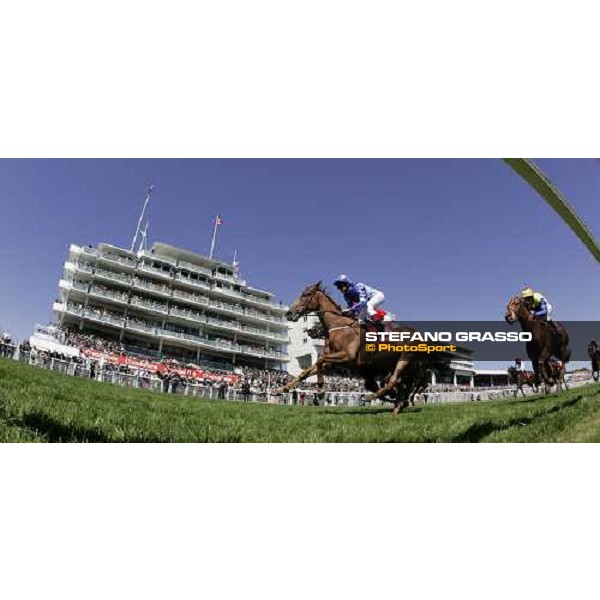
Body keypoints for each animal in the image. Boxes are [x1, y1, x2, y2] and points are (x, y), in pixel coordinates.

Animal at [284, 282, 434, 412]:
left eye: (306, 294)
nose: (288, 313)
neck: (339, 326)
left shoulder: (347, 356)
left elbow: (320, 360)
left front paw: (320, 389)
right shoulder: (333, 360)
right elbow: (308, 370)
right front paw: (283, 388)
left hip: (405, 361)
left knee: (396, 381)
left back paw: (379, 398)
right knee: (400, 384)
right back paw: (398, 403)